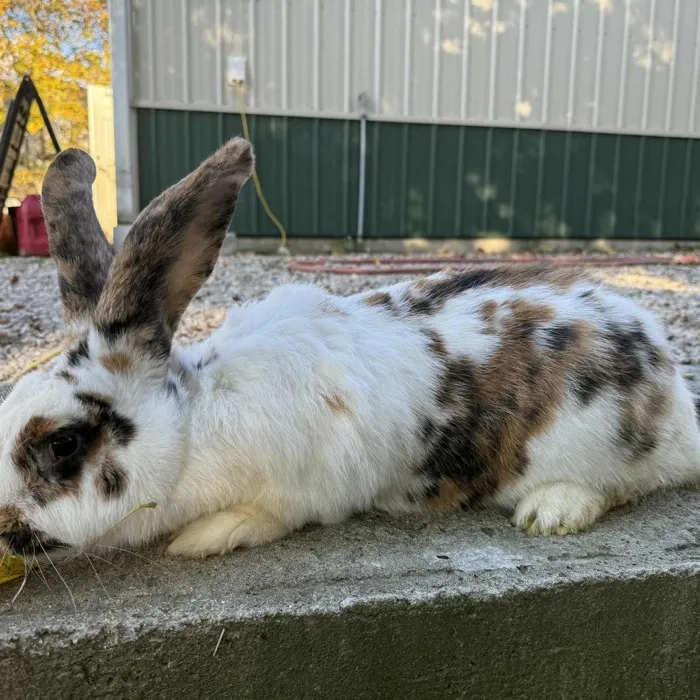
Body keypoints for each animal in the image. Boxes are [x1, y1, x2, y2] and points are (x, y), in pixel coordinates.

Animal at [0, 137, 699, 562]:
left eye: (63, 444)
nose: (4, 529)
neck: (194, 427)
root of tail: (676, 395)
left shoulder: (302, 486)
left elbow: (267, 515)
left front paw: (203, 537)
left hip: (597, 445)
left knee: (626, 486)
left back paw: (550, 511)